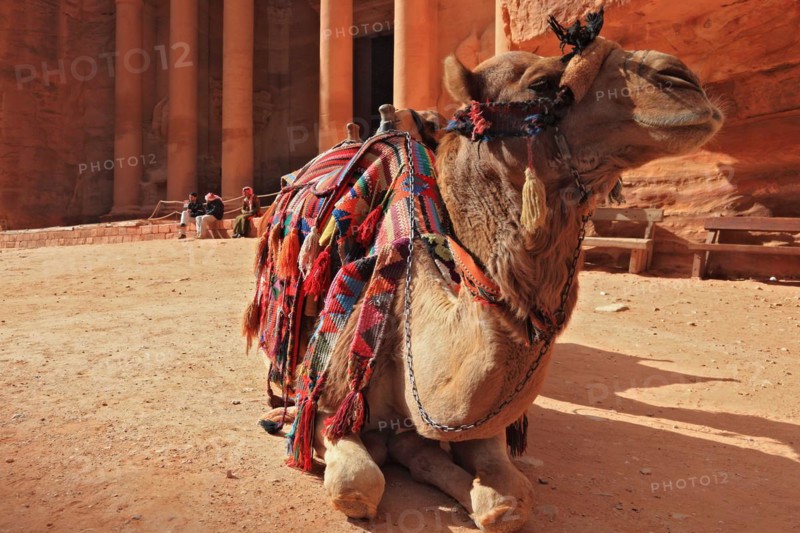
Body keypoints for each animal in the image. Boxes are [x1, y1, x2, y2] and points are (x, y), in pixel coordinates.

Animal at [247, 12, 722, 533]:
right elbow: (357, 484)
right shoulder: (328, 402)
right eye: (541, 83)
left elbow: (505, 501)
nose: (683, 80)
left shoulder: (473, 428)